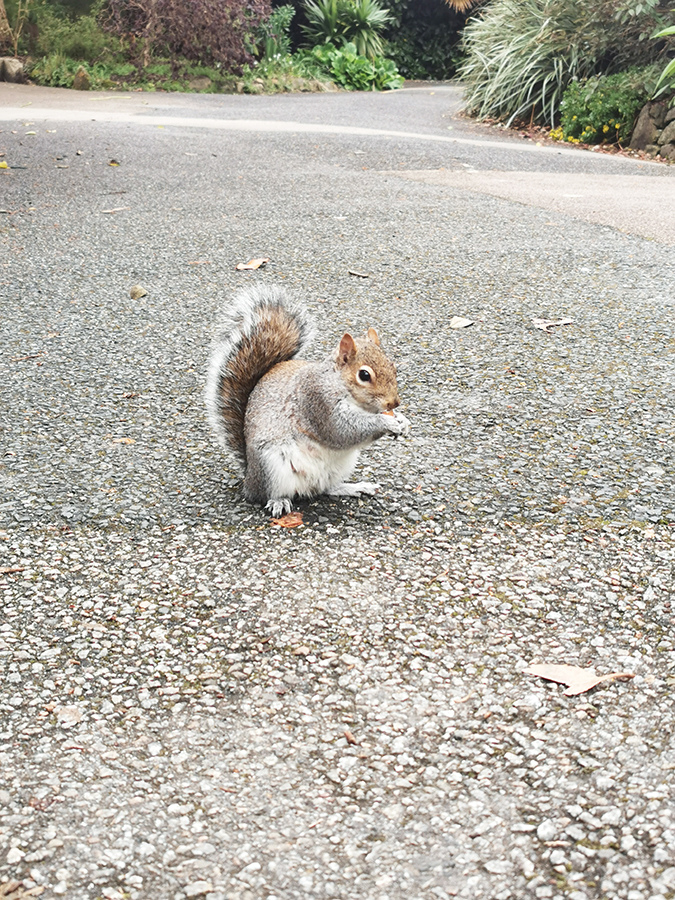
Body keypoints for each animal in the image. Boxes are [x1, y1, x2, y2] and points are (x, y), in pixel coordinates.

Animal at [205, 284, 410, 517]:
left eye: (393, 366)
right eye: (364, 375)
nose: (393, 403)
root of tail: (249, 477)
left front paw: (402, 421)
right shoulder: (316, 401)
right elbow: (343, 431)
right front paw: (386, 422)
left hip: (340, 466)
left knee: (326, 488)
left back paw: (353, 487)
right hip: (271, 466)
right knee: (266, 494)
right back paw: (278, 501)